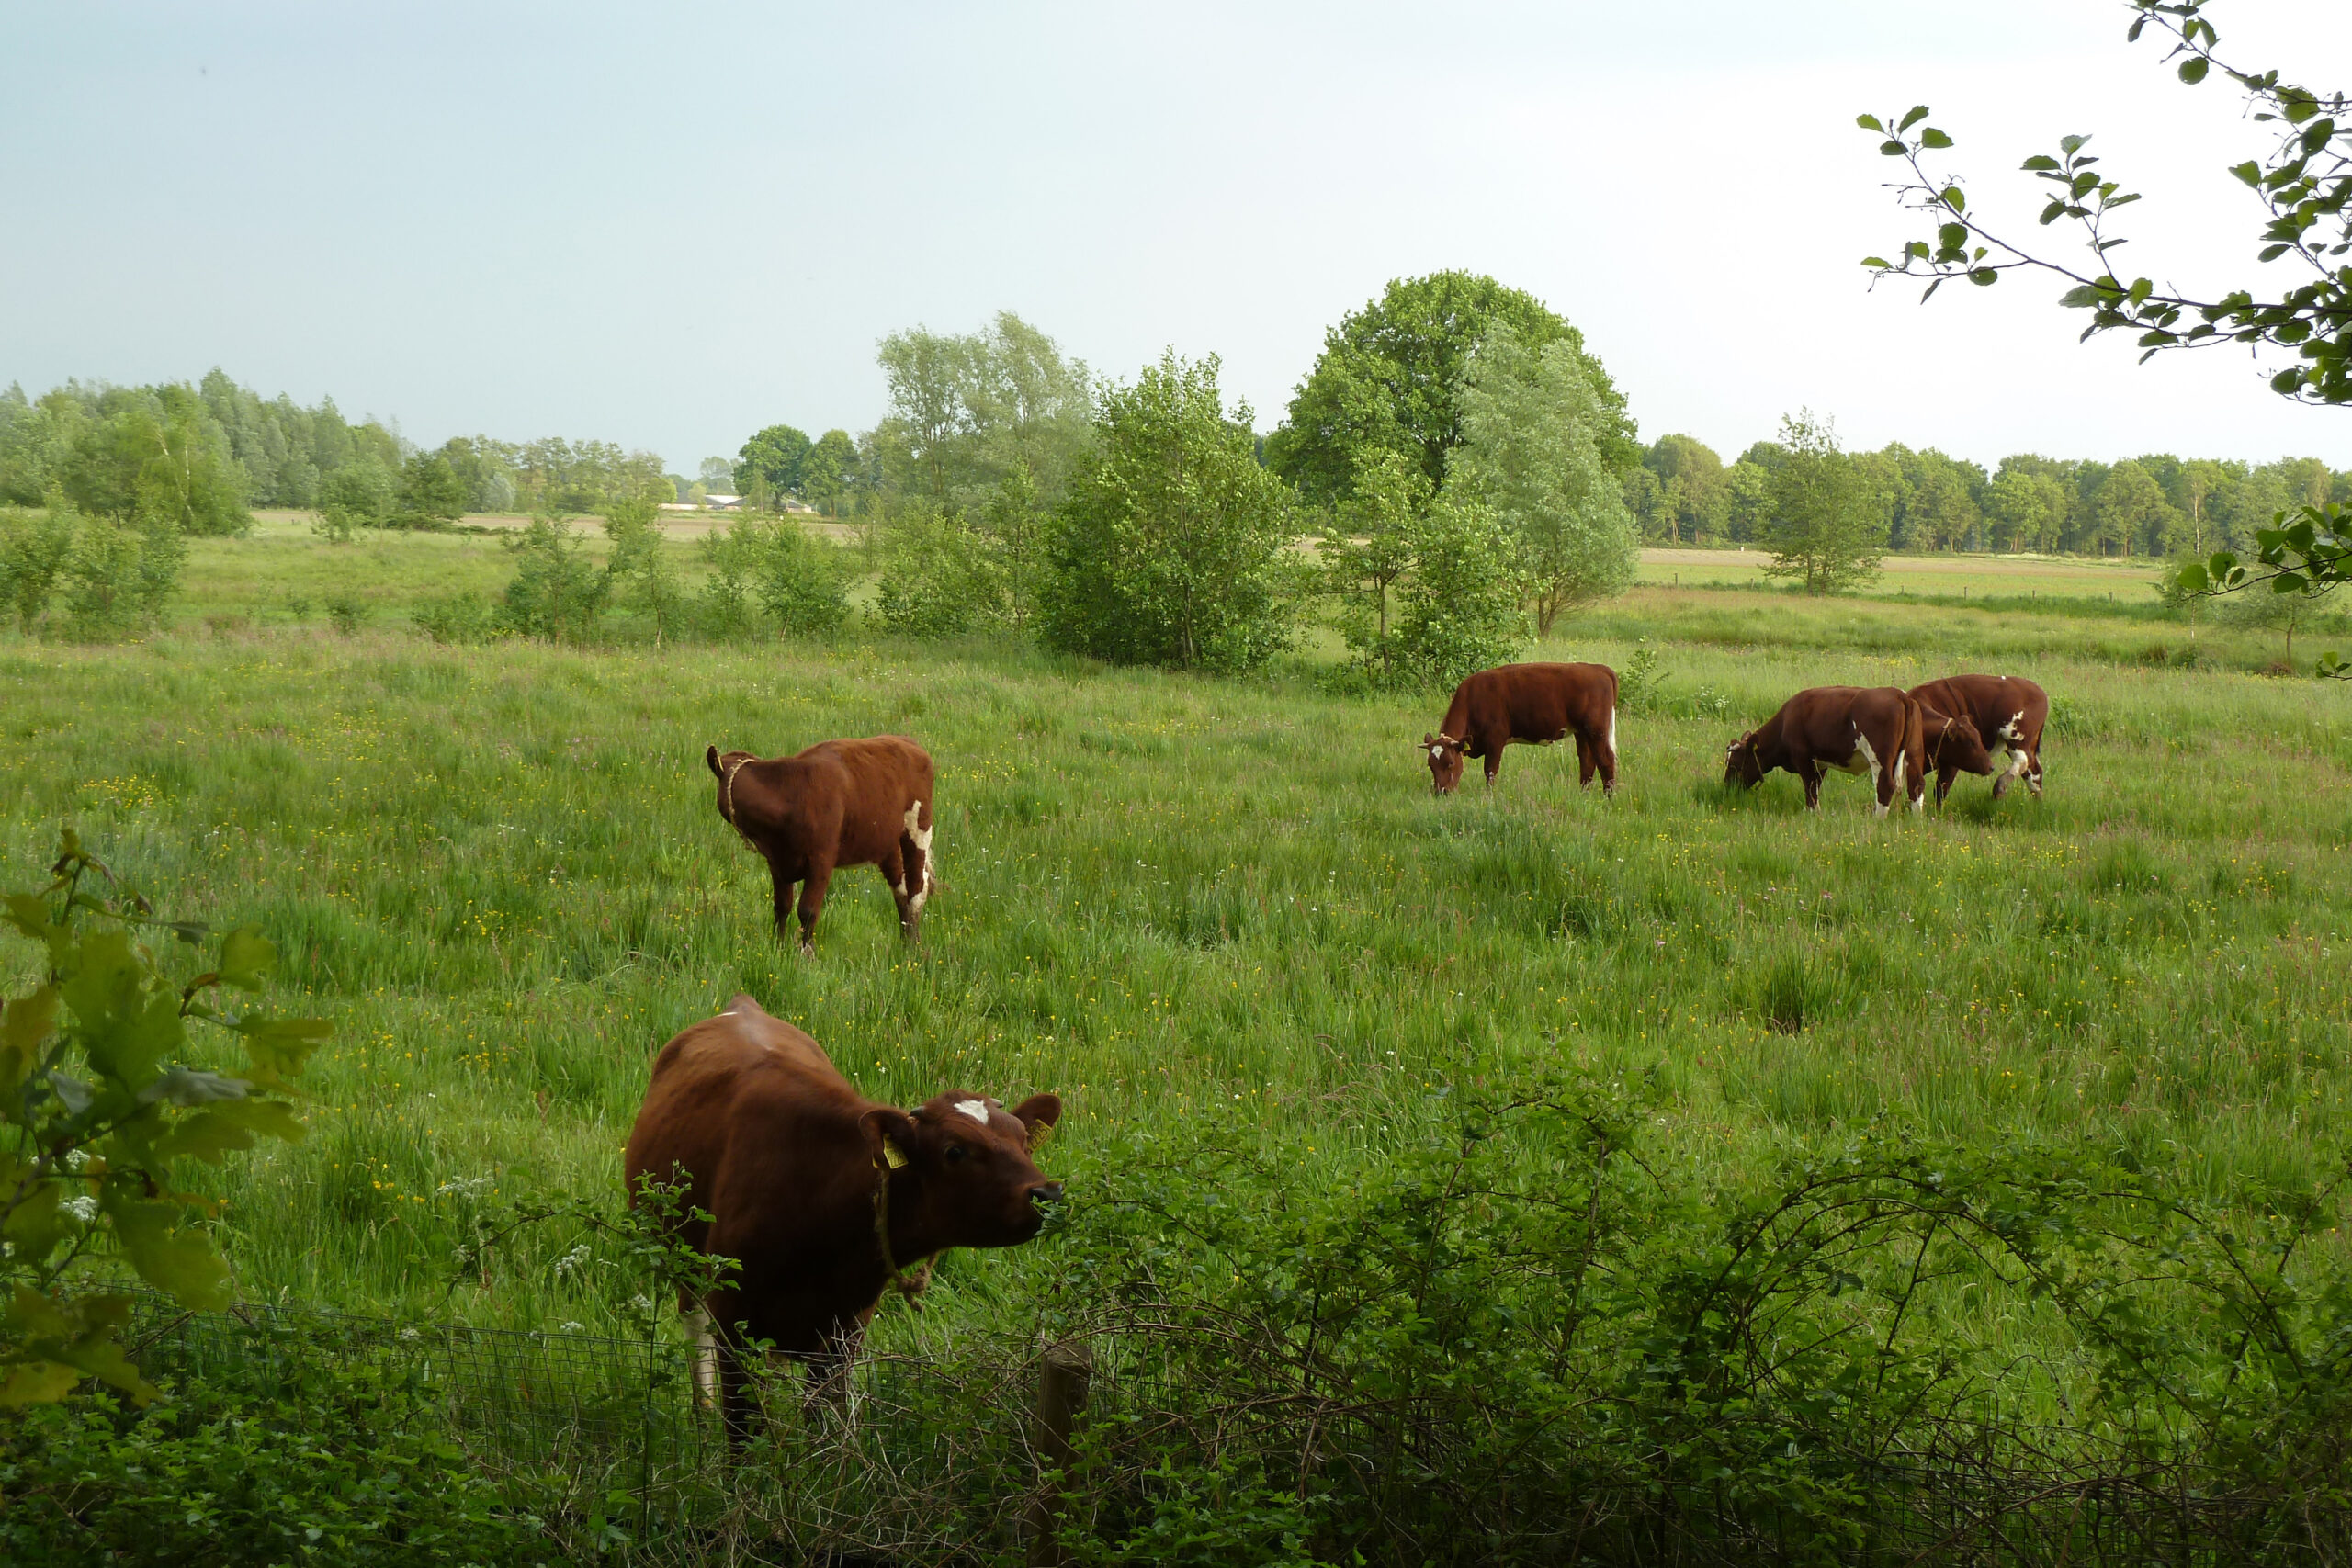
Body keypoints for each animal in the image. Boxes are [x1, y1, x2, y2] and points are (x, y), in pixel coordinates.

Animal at [624, 995, 1064, 1442]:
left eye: (1024, 1140)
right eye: (954, 1151)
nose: (1048, 1194)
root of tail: (742, 1005)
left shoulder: (845, 1332)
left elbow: (824, 1421)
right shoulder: (733, 1325)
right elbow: (745, 1435)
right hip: (684, 1261)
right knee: (692, 1320)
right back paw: (703, 1414)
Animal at [707, 735, 935, 952]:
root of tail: (908, 742)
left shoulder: (822, 859)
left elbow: (807, 910)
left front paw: (807, 953)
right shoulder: (777, 861)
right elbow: (781, 906)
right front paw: (778, 948)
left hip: (918, 831)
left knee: (916, 889)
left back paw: (913, 948)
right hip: (887, 843)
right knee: (900, 890)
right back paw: (905, 942)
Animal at [1423, 662, 1619, 795]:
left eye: (1450, 763)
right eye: (1430, 765)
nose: (1441, 792)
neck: (1473, 698)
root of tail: (1598, 668)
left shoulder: (1495, 740)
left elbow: (1490, 771)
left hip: (1596, 730)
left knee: (1606, 761)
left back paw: (1608, 798)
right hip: (1582, 732)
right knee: (1587, 761)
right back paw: (1583, 794)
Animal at [1722, 686, 1927, 816]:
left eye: (1734, 764)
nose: (1726, 786)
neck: (1785, 722)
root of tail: (1899, 694)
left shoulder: (1804, 759)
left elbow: (1810, 789)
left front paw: (1812, 813)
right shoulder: (1821, 763)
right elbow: (1816, 787)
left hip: (1880, 758)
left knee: (1885, 786)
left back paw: (1878, 820)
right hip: (1914, 754)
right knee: (1916, 785)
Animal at [1907, 675, 2049, 804]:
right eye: (1971, 742)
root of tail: (2038, 690)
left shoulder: (1951, 764)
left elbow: (1940, 791)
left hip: (2016, 737)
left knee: (2024, 761)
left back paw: (2000, 787)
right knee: (2034, 771)